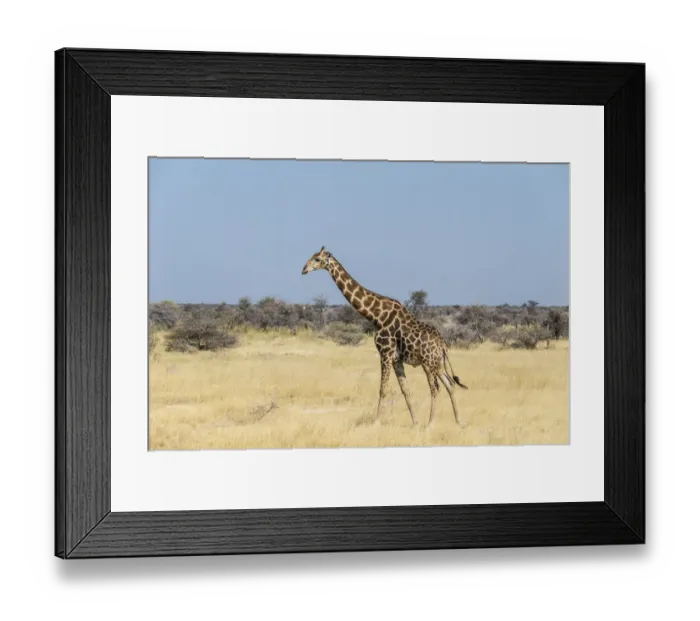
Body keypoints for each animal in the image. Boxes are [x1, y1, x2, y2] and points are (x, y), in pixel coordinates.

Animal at [301, 246, 468, 427]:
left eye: (317, 259)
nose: (304, 270)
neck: (375, 315)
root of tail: (443, 346)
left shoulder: (385, 353)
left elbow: (383, 389)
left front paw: (376, 421)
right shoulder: (396, 359)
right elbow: (405, 390)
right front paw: (415, 422)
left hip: (428, 363)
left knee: (435, 388)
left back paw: (430, 423)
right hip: (437, 364)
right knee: (450, 384)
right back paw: (459, 421)